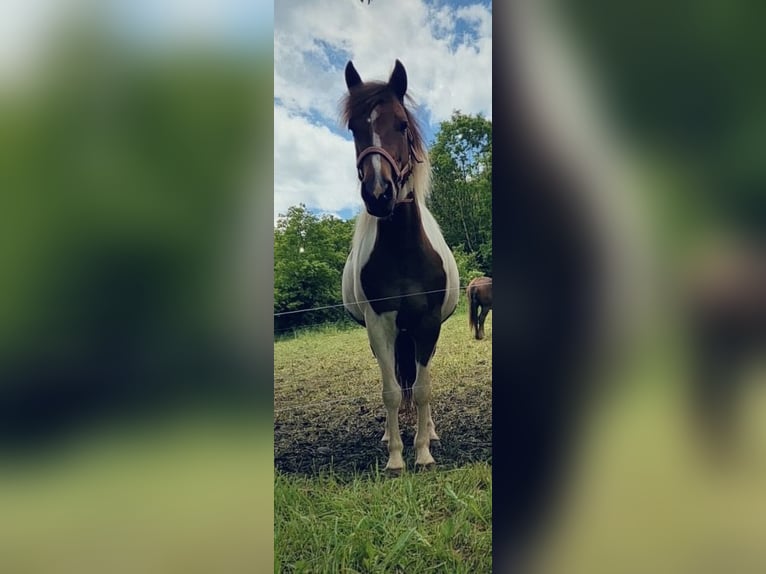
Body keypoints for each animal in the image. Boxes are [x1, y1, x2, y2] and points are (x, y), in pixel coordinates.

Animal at [344, 59, 462, 472]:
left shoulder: (428, 323)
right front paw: (396, 457)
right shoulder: (380, 325)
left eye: (401, 125)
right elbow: (392, 392)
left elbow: (423, 388)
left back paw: (430, 431)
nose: (379, 194)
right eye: (354, 127)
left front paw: (423, 451)